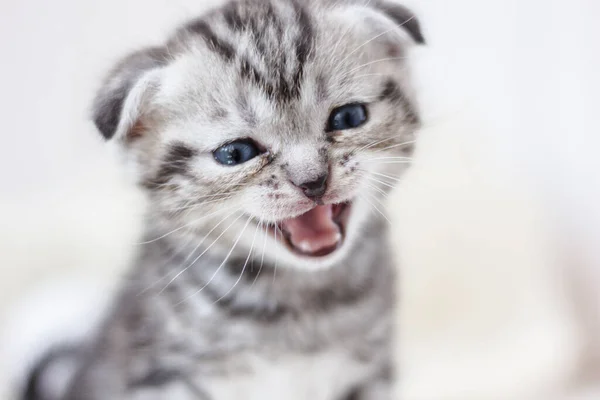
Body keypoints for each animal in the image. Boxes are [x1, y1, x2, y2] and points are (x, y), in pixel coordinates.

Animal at [25, 0, 424, 400]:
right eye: (235, 153)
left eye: (348, 117)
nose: (313, 181)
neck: (299, 295)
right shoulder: (162, 378)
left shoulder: (369, 375)